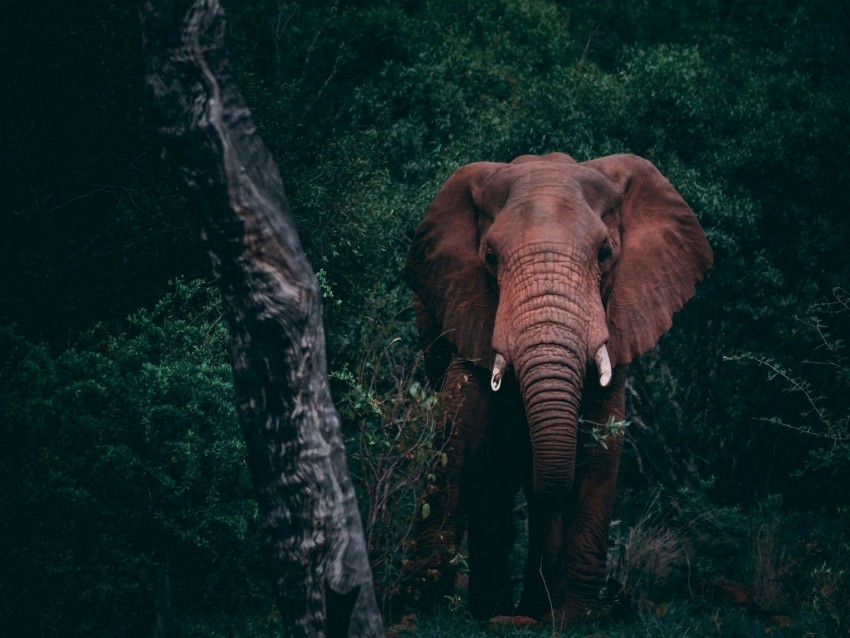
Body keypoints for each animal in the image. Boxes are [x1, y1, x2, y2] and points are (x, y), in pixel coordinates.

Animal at [400, 151, 712, 624]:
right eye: (490, 257)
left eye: (605, 253)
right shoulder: (467, 305)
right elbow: (460, 431)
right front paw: (421, 608)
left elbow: (605, 438)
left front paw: (575, 617)